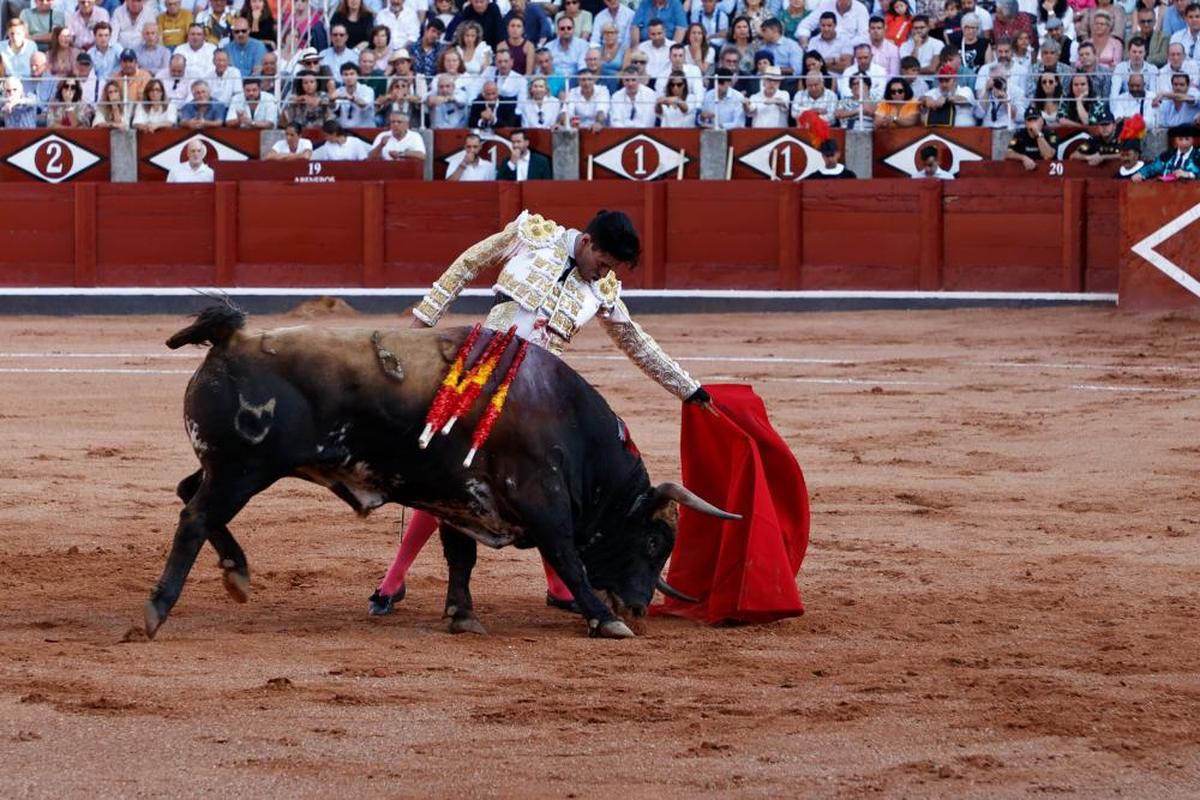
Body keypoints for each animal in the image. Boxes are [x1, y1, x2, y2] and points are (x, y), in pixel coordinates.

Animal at [145, 303, 734, 642]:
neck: (567, 420)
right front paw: (602, 619)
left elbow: (460, 557)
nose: (639, 607)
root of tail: (232, 339)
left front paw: (461, 615)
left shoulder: (460, 497)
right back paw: (157, 611)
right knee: (195, 518)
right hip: (242, 469)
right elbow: (567, 557)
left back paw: (236, 572)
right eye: (655, 540)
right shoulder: (543, 501)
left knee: (187, 494)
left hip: (227, 467)